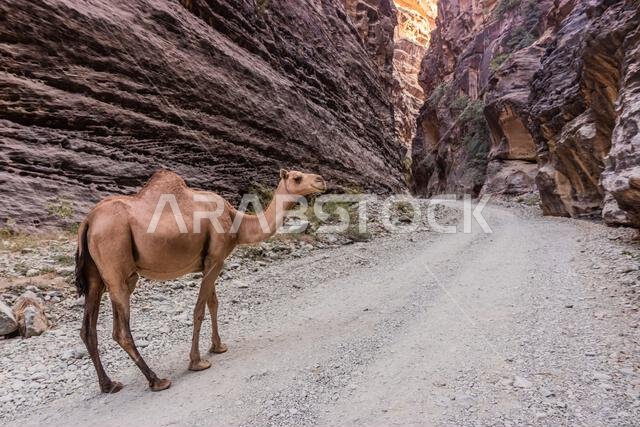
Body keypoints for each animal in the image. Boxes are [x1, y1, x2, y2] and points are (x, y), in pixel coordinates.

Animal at [75, 169, 326, 393]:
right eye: (297, 177)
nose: (321, 180)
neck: (236, 221)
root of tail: (88, 221)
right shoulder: (216, 258)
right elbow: (199, 309)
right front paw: (197, 362)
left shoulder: (210, 260)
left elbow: (213, 303)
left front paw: (218, 346)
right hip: (118, 267)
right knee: (121, 331)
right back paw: (156, 380)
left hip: (96, 275)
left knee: (88, 328)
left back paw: (108, 385)